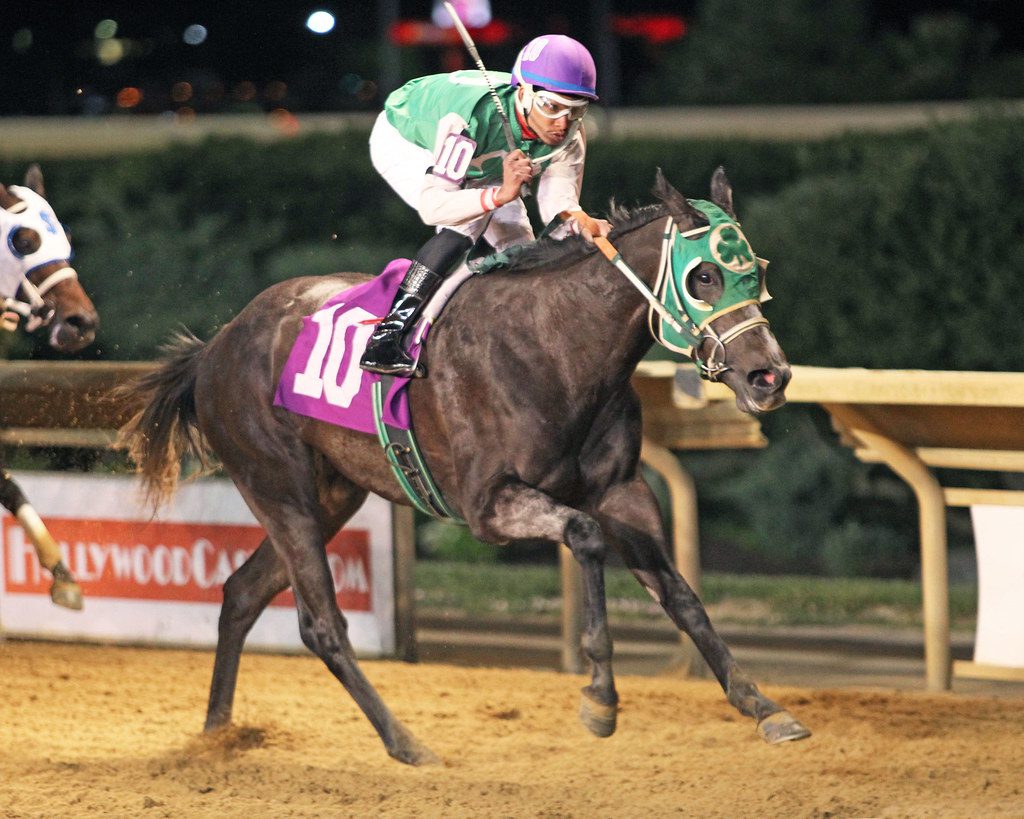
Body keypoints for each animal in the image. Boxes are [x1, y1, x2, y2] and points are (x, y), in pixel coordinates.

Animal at [117, 169, 806, 765]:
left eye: (758, 271)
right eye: (704, 275)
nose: (769, 376)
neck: (556, 346)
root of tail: (217, 343)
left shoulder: (622, 490)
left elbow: (681, 594)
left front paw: (762, 705)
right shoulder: (489, 506)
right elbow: (584, 537)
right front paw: (600, 698)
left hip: (331, 494)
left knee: (241, 592)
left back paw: (215, 734)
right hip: (278, 486)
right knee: (321, 625)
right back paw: (405, 743)